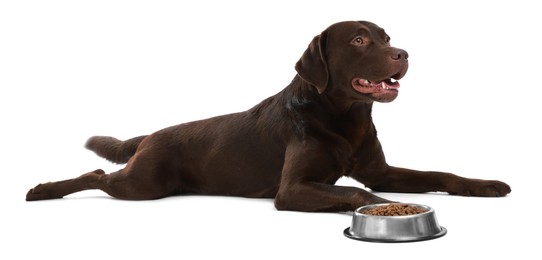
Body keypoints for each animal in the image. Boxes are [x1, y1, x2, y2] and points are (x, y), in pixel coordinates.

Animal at [23, 21, 512, 212]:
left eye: (386, 37)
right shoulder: (292, 189)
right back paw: (44, 190)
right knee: (96, 175)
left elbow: (439, 173)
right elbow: (356, 193)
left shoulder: (381, 170)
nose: (404, 53)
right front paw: (380, 206)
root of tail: (150, 135)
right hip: (144, 184)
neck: (343, 118)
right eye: (358, 40)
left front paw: (484, 185)